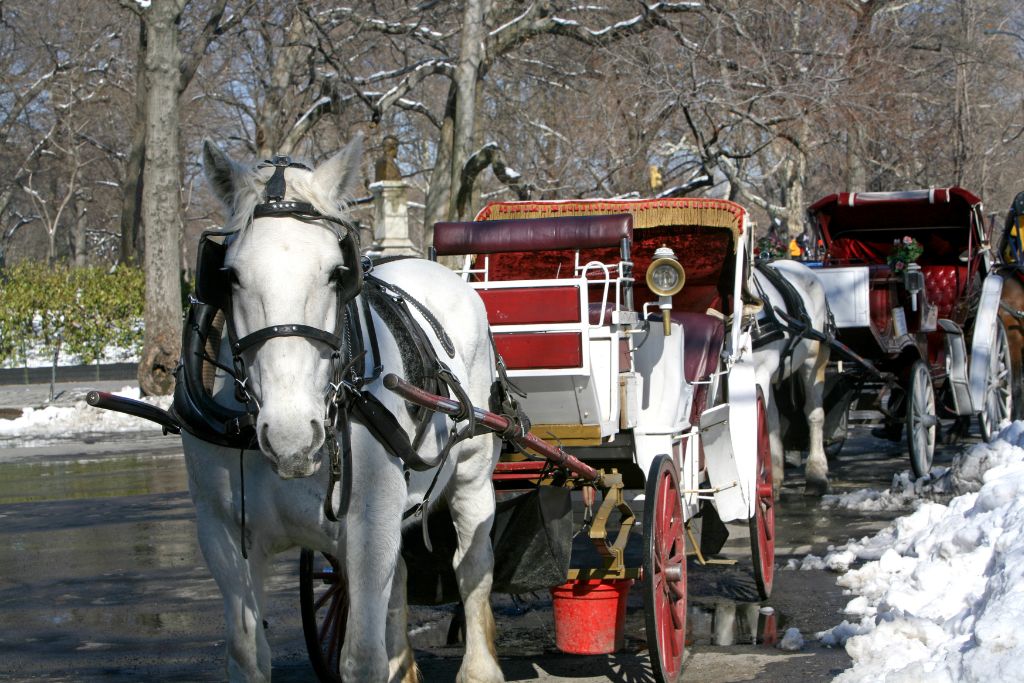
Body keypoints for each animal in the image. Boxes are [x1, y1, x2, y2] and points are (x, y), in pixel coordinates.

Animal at [185, 136, 507, 679]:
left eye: (337, 273)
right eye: (228, 276)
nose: (292, 437)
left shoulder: (368, 526)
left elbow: (362, 659)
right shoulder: (221, 533)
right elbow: (248, 654)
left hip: (473, 471)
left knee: (474, 567)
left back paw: (480, 667)